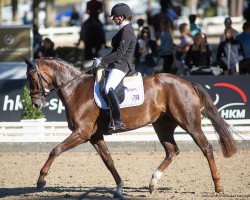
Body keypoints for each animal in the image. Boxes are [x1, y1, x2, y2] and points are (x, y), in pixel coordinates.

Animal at [21, 56, 236, 197]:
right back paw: (152, 183)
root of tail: (187, 83)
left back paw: (218, 186)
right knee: (172, 151)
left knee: (206, 147)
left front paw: (41, 180)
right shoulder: (94, 136)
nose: (36, 104)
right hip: (162, 126)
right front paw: (119, 186)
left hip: (189, 123)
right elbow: (108, 160)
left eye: (32, 78)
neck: (76, 90)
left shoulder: (81, 133)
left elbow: (55, 150)